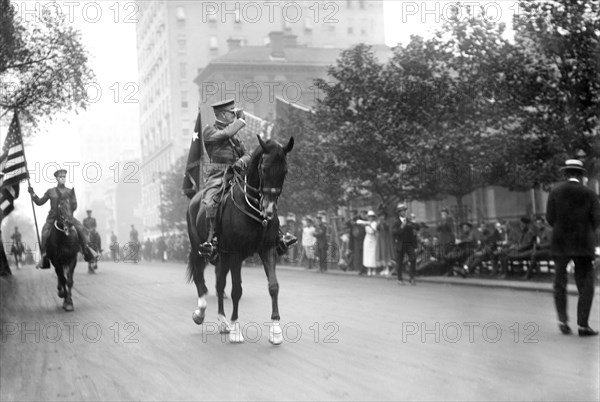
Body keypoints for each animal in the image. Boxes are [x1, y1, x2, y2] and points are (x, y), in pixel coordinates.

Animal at [185, 135, 292, 342]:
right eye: (264, 168)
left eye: (285, 171)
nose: (269, 210)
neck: (253, 209)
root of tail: (194, 199)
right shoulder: (235, 253)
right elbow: (236, 290)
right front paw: (236, 328)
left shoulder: (267, 249)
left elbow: (273, 286)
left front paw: (275, 330)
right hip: (199, 248)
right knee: (199, 275)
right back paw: (201, 312)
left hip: (222, 256)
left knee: (219, 285)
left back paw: (222, 321)